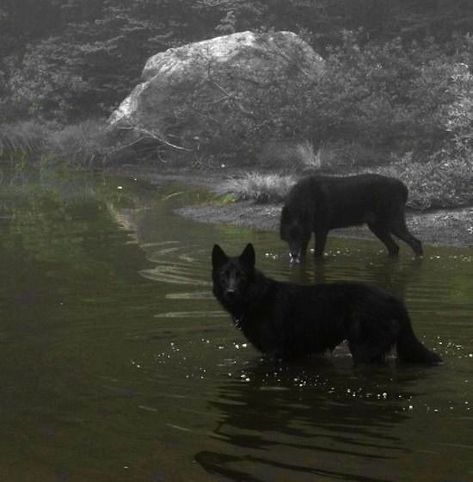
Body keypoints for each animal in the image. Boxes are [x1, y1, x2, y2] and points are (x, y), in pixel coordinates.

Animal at [210, 245, 438, 366]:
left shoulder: (275, 352)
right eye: (224, 276)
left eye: (241, 277)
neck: (257, 297)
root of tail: (397, 303)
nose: (230, 293)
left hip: (362, 349)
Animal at [278, 174, 422, 262]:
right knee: (394, 248)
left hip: (393, 222)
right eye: (289, 236)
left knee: (416, 242)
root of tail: (404, 189)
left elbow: (317, 254)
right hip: (377, 226)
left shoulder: (321, 230)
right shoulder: (308, 232)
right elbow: (305, 254)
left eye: (298, 236)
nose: (293, 255)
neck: (305, 201)